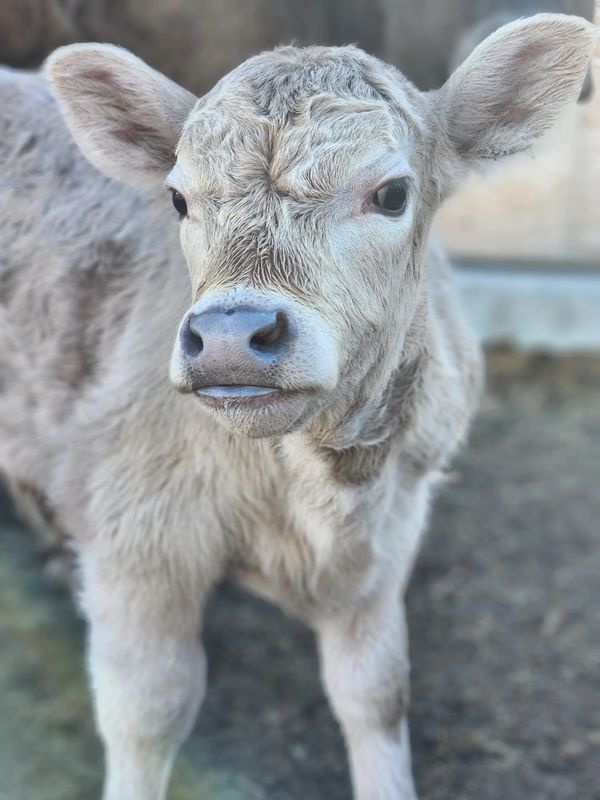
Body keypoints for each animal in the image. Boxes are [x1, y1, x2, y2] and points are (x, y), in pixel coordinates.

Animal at [0, 12, 592, 800]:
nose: (229, 335)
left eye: (392, 193)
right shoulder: (137, 544)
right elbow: (146, 714)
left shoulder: (389, 536)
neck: (316, 486)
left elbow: (377, 694)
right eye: (178, 199)